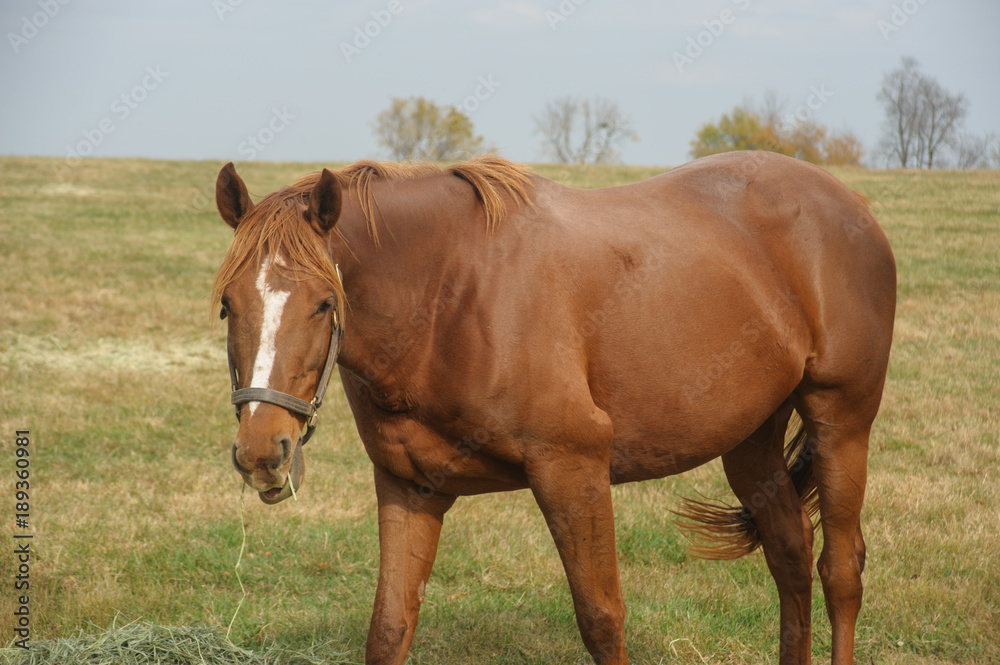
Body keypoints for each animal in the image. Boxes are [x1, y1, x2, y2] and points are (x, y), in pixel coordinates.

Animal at [213, 152, 900, 664]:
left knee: (840, 570)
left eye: (325, 303)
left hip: (841, 423)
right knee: (790, 554)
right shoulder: (410, 488)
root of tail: (850, 205)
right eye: (227, 304)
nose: (262, 451)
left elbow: (601, 620)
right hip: (750, 439)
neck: (449, 297)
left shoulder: (573, 471)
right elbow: (388, 629)